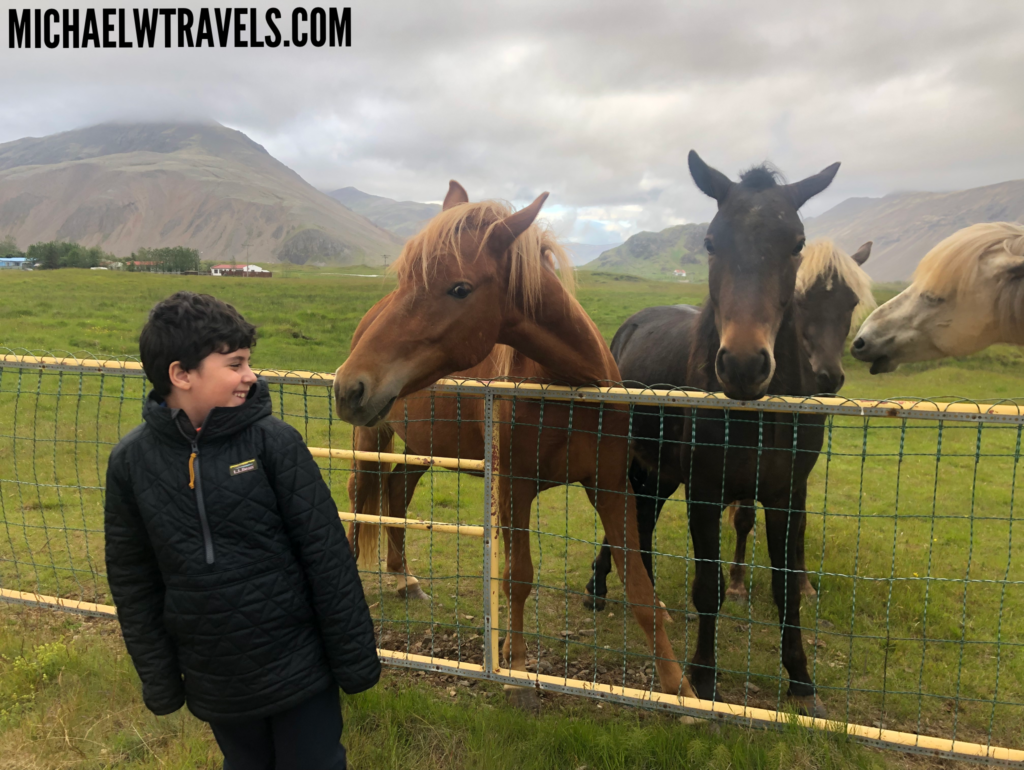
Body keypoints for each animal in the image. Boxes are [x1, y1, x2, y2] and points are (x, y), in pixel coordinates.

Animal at [332, 181, 695, 702]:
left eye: (459, 288)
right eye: (404, 277)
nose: (349, 386)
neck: (567, 386)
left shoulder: (610, 487)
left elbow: (640, 588)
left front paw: (679, 688)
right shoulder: (514, 488)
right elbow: (518, 576)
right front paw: (517, 665)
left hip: (423, 445)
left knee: (396, 491)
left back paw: (405, 579)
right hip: (371, 435)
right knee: (360, 496)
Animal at [584, 239, 874, 608]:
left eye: (851, 302)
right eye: (798, 301)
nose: (828, 377)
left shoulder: (794, 475)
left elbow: (800, 522)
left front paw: (804, 583)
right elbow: (744, 518)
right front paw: (737, 584)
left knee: (644, 512)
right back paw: (601, 585)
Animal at [585, 152, 842, 716]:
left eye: (797, 243)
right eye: (709, 241)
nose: (744, 365)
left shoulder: (787, 495)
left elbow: (787, 589)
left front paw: (801, 679)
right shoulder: (704, 493)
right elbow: (709, 587)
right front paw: (704, 679)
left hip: (660, 470)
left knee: (642, 519)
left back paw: (650, 596)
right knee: (623, 518)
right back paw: (600, 586)